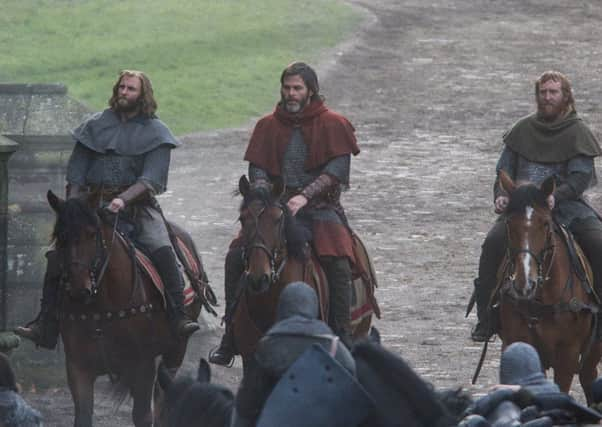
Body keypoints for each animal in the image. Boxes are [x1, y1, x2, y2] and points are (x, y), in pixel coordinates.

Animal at [45, 191, 204, 427]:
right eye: (60, 236)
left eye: (92, 234)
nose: (78, 289)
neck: (102, 304)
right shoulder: (78, 367)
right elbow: (83, 415)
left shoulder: (143, 364)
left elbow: (143, 415)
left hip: (177, 349)